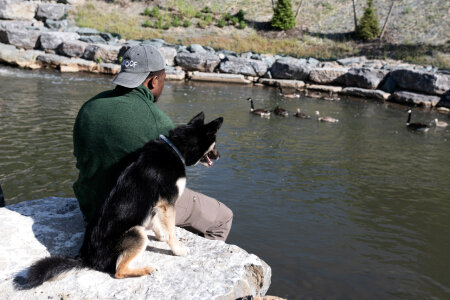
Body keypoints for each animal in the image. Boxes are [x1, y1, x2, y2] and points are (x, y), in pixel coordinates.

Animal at [22, 112, 223, 288]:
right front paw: (178, 250)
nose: (219, 156)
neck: (175, 148)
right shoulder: (168, 204)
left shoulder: (157, 206)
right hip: (136, 233)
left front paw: (161, 237)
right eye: (214, 145)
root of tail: (86, 258)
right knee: (119, 271)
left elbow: (160, 225)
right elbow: (171, 230)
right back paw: (145, 270)